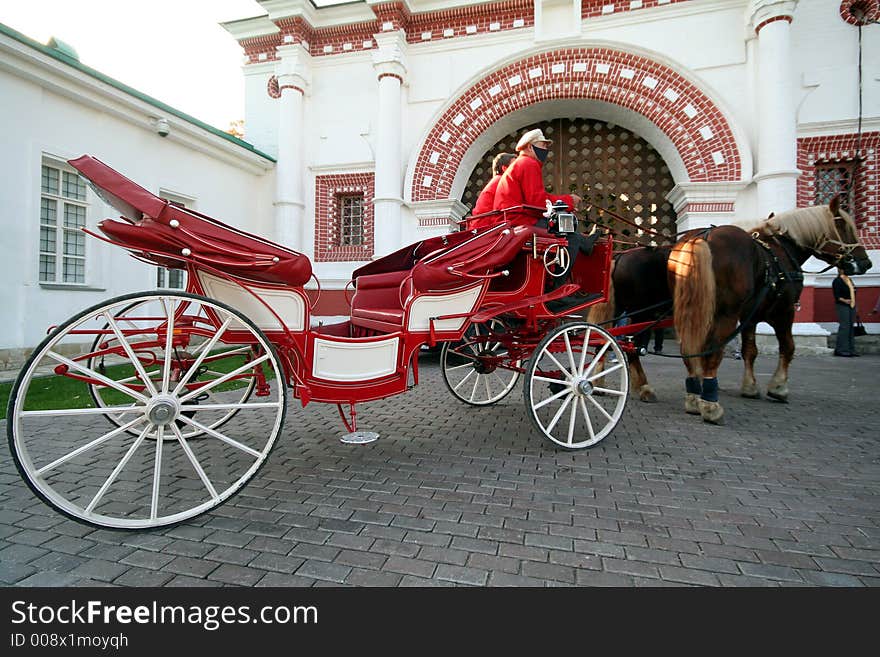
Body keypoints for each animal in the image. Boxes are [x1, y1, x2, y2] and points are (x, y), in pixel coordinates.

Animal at [668, 197, 872, 422]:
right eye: (844, 227)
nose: (866, 263)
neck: (780, 253)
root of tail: (703, 236)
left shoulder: (749, 316)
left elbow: (749, 350)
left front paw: (749, 387)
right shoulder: (784, 312)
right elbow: (788, 347)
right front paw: (778, 387)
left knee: (690, 348)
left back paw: (695, 397)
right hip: (726, 313)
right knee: (713, 349)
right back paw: (711, 405)